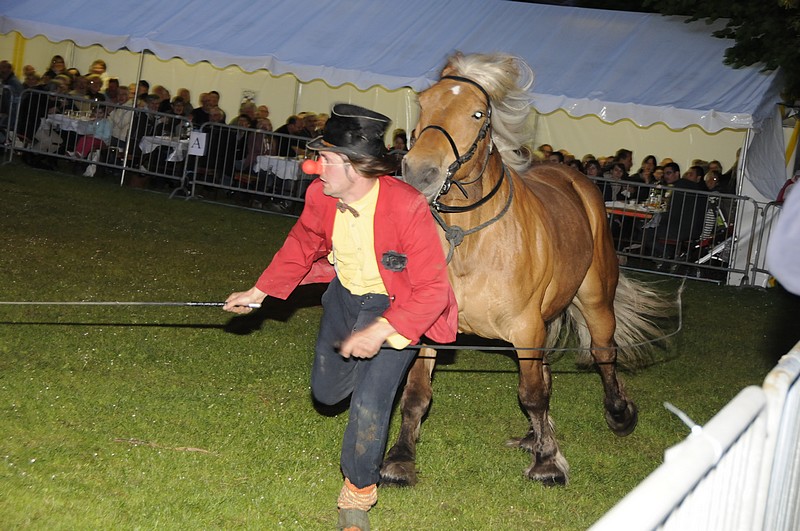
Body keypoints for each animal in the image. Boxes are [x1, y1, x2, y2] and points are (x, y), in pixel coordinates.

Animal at [379, 52, 673, 487]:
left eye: (478, 113)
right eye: (425, 103)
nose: (419, 172)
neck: (470, 241)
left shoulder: (526, 329)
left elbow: (532, 394)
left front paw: (548, 463)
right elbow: (416, 394)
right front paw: (400, 459)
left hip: (595, 300)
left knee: (603, 352)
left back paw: (617, 413)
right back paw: (537, 435)